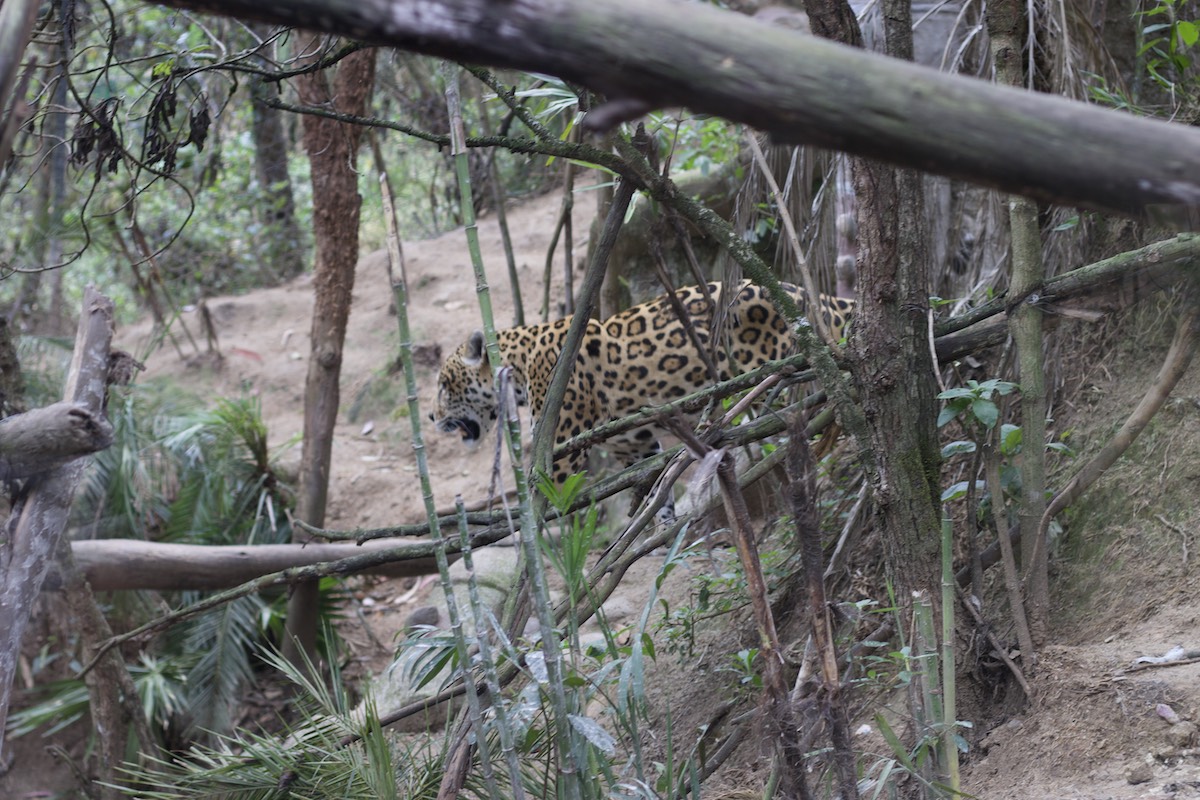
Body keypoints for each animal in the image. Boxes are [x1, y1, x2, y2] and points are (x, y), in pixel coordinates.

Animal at [432, 280, 854, 516]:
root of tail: (818, 296)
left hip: (783, 379)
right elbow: (654, 489)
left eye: (443, 384)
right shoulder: (635, 445)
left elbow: (552, 506)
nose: (433, 417)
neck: (520, 367)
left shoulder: (563, 450)